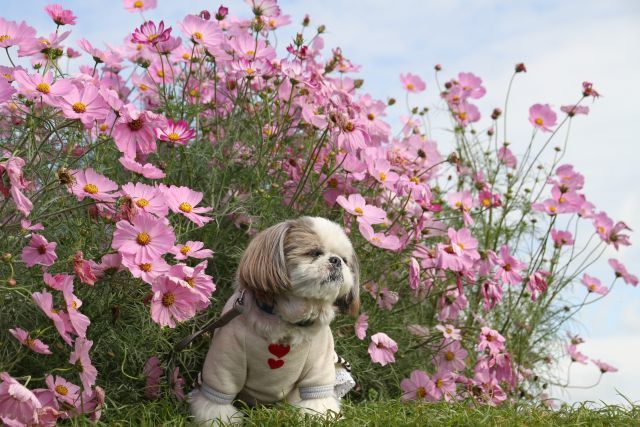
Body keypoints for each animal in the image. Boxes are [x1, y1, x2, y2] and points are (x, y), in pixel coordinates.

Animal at [190, 219, 360, 426]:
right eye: (313, 252)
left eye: (344, 260)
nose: (336, 260)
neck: (289, 321)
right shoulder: (225, 361)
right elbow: (216, 401)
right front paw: (218, 420)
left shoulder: (319, 364)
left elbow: (317, 400)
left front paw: (318, 417)